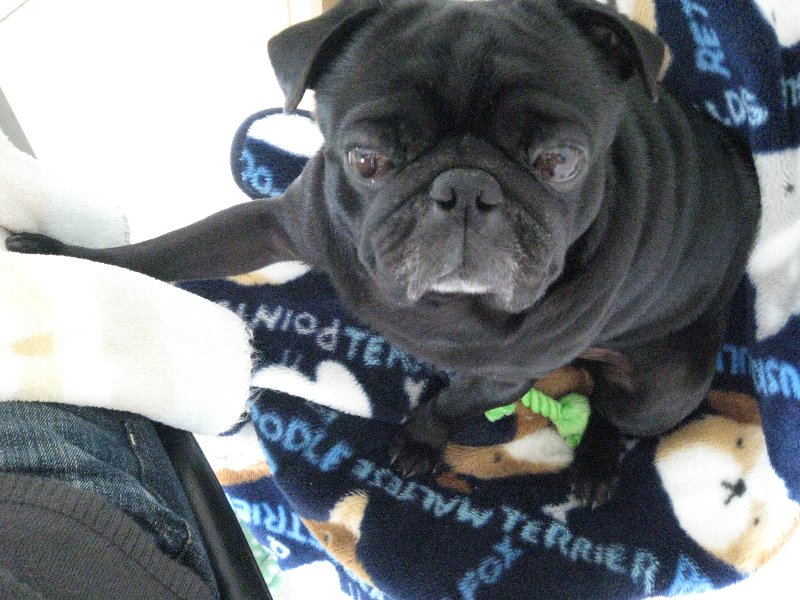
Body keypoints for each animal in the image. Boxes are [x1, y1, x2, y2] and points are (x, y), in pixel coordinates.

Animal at [6, 0, 760, 507]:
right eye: (367, 159)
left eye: (560, 161)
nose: (465, 189)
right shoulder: (273, 225)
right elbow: (166, 254)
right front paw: (62, 258)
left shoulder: (503, 375)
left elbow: (446, 405)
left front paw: (418, 444)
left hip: (665, 382)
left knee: (618, 413)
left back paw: (596, 467)